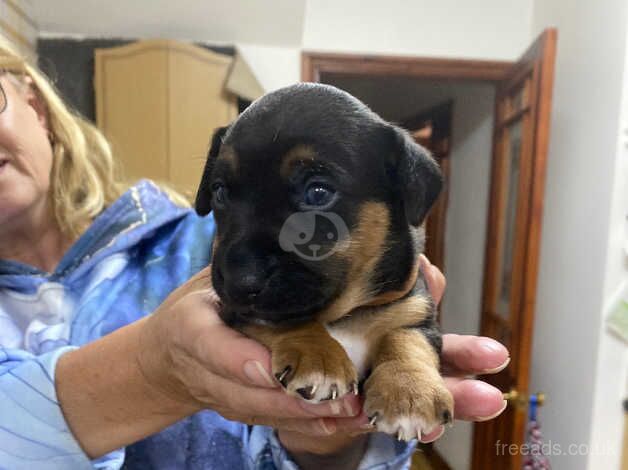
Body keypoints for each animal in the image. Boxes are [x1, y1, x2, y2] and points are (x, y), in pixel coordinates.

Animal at [195, 81, 452, 440]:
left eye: (318, 193)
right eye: (219, 192)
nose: (238, 281)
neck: (343, 313)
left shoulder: (414, 303)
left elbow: (407, 338)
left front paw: (409, 392)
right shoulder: (239, 311)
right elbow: (287, 318)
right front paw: (318, 358)